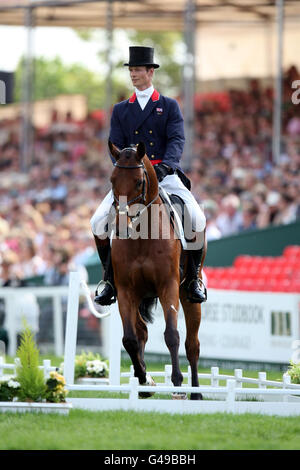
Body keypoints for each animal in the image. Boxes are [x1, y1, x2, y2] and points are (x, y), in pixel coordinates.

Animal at [109, 140, 203, 400]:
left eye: (139, 182)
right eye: (112, 180)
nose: (121, 227)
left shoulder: (167, 286)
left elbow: (172, 335)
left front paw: (178, 385)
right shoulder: (125, 291)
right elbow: (129, 339)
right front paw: (144, 380)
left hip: (188, 296)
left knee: (192, 345)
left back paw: (196, 393)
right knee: (141, 332)